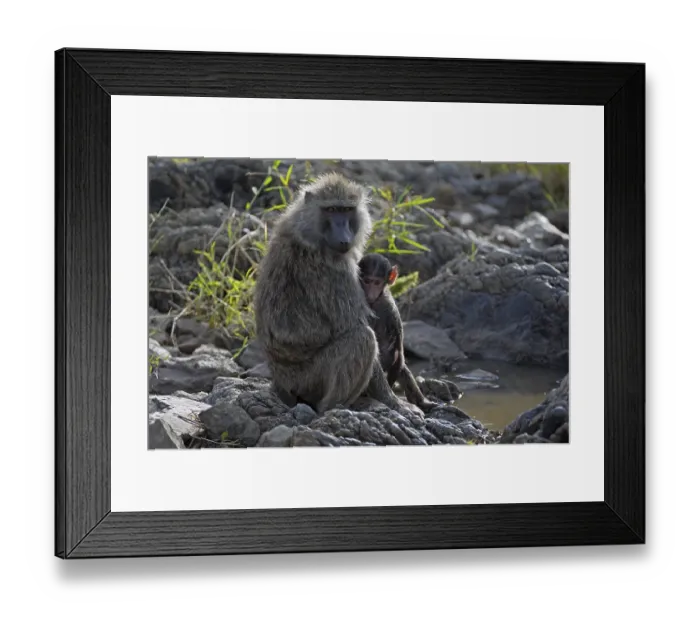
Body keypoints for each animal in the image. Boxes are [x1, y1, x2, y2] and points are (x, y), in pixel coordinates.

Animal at [253, 172, 418, 416]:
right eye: (331, 210)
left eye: (346, 210)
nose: (344, 237)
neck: (308, 233)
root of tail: (279, 383)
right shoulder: (333, 271)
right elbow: (353, 325)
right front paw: (394, 402)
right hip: (306, 381)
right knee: (362, 339)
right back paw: (332, 408)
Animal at [358, 253, 439, 412]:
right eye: (366, 281)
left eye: (376, 283)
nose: (370, 293)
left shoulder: (391, 310)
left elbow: (399, 351)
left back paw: (422, 402)